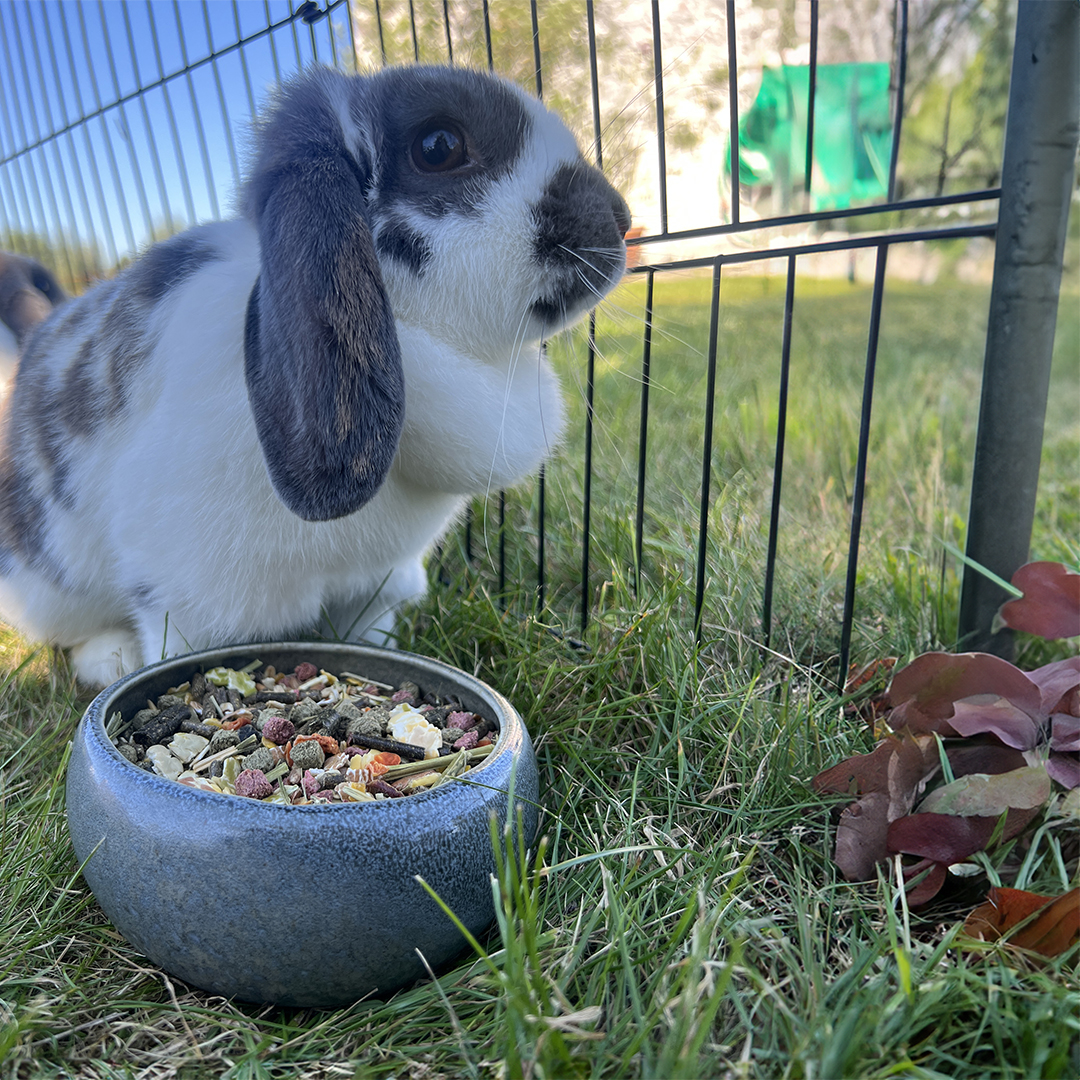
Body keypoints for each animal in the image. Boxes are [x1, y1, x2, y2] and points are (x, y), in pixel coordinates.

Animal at [0, 63, 630, 682]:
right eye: (438, 146)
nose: (620, 217)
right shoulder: (186, 596)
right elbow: (179, 646)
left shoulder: (380, 583)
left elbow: (370, 636)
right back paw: (109, 658)